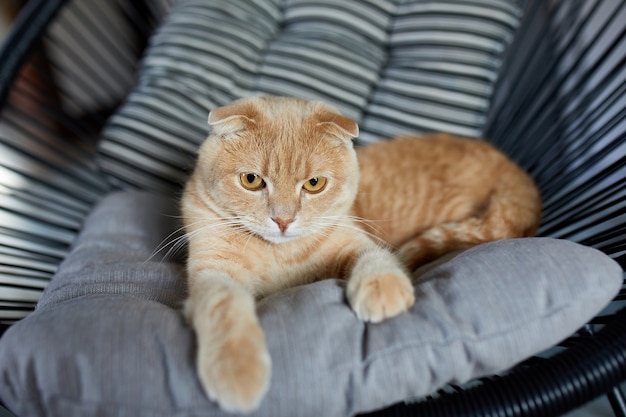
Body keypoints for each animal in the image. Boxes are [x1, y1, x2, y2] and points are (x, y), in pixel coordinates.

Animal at [179, 96, 536, 412]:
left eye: (314, 184)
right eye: (251, 180)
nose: (282, 220)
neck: (280, 255)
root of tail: (515, 171)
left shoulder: (354, 242)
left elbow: (374, 259)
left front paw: (382, 289)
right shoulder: (212, 271)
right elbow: (224, 306)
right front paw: (236, 371)